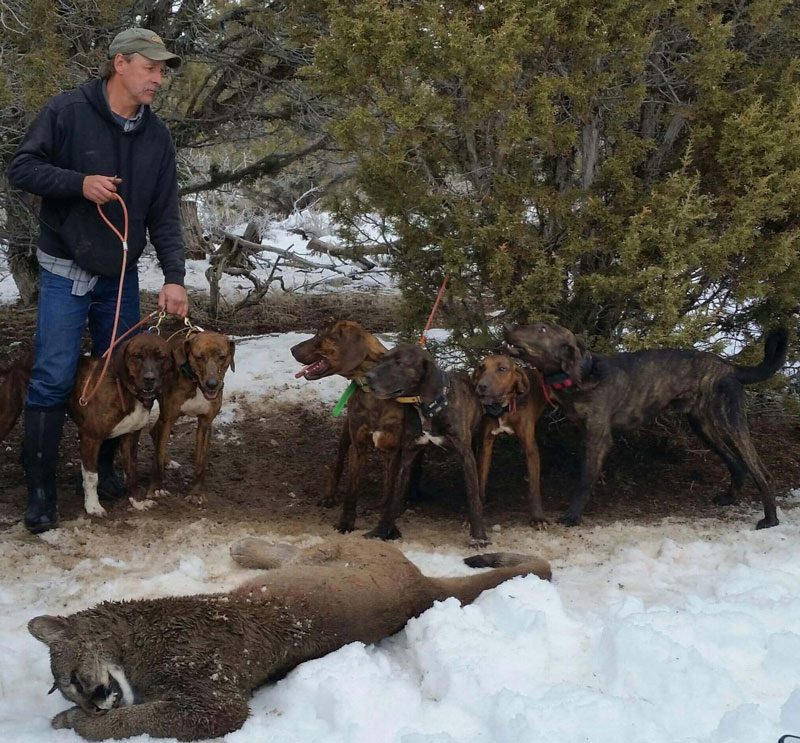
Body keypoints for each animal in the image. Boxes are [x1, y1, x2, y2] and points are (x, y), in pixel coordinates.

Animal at [68, 332, 173, 516]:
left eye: (161, 357)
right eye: (137, 356)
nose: (149, 379)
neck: (125, 389)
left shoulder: (130, 436)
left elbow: (132, 471)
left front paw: (138, 501)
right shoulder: (90, 437)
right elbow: (91, 476)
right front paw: (93, 506)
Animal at [147, 332, 234, 506]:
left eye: (222, 357)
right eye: (199, 357)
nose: (212, 384)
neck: (195, 382)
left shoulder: (205, 423)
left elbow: (201, 463)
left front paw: (196, 493)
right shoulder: (168, 420)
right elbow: (157, 458)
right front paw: (156, 488)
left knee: (154, 431)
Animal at [364, 344, 488, 548]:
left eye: (399, 363)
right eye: (383, 359)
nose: (368, 376)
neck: (426, 407)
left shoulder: (466, 456)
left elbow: (473, 497)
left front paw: (479, 536)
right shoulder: (408, 453)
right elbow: (394, 496)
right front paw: (381, 530)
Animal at [476, 356, 552, 528]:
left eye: (502, 369)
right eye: (481, 367)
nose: (481, 386)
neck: (503, 407)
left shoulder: (530, 447)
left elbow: (534, 488)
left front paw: (538, 518)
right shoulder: (485, 447)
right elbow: (480, 484)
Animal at [506, 324, 788, 528]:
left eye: (542, 329)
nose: (507, 326)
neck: (583, 374)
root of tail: (730, 367)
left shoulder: (598, 438)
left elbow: (584, 480)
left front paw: (572, 516)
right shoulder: (585, 434)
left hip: (729, 422)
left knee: (761, 471)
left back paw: (770, 519)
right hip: (704, 426)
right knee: (736, 463)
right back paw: (729, 498)